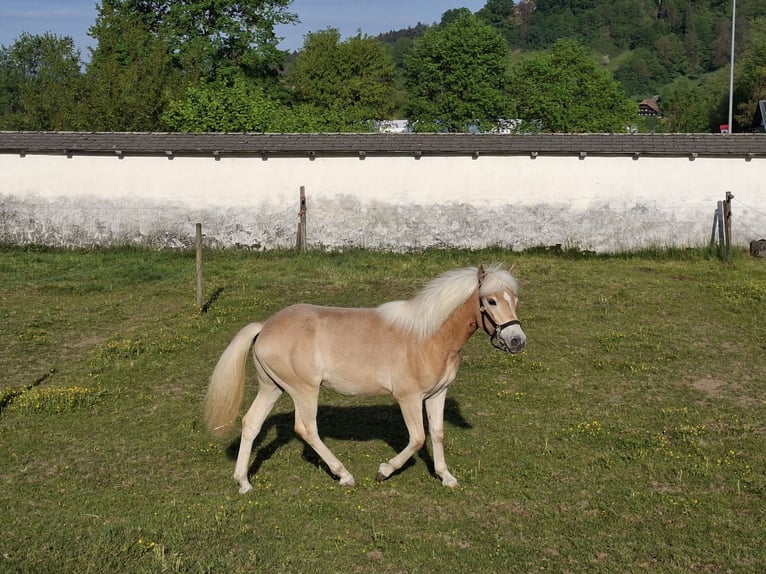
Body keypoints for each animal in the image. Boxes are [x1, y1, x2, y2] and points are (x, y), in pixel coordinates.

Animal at [204, 264, 525, 493]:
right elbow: (417, 438)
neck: (428, 337)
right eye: (491, 301)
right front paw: (384, 470)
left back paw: (243, 482)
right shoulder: (408, 398)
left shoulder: (436, 394)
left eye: (514, 299)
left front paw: (446, 477)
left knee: (251, 424)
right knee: (306, 428)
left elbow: (436, 433)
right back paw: (344, 475)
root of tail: (265, 326)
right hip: (304, 390)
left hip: (272, 388)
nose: (517, 340)